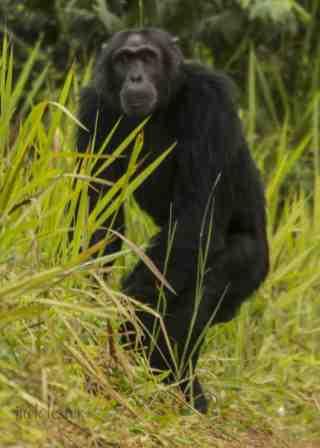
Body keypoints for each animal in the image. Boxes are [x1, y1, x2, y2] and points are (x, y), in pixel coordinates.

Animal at [77, 28, 270, 412]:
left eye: (148, 57)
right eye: (124, 59)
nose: (136, 76)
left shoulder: (210, 101)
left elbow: (196, 217)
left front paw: (128, 311)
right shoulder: (94, 110)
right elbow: (100, 220)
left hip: (255, 264)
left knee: (213, 277)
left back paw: (175, 384)